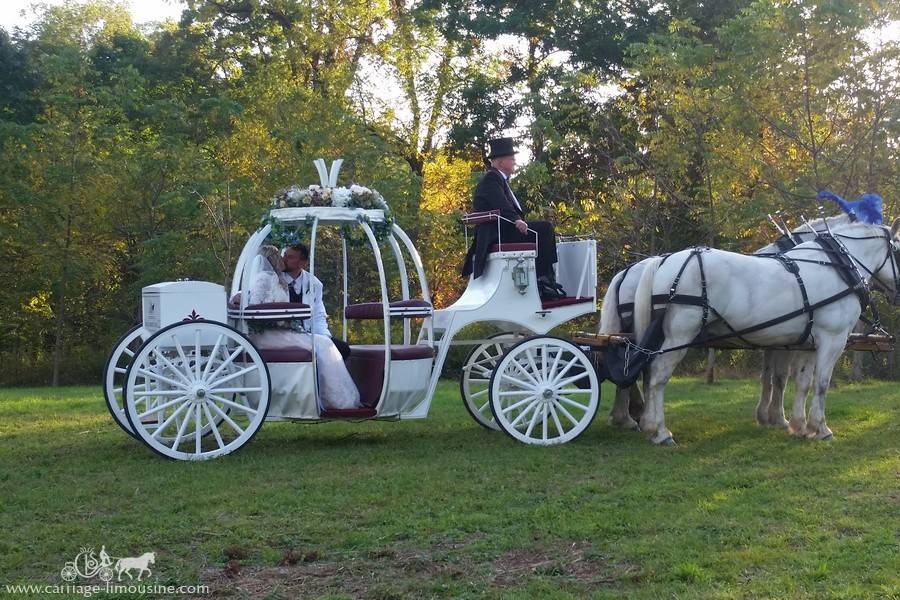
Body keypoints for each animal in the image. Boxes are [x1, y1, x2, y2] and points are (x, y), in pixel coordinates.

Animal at [628, 218, 896, 442]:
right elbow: (820, 384)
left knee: (649, 373)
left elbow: (801, 382)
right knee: (658, 375)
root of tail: (664, 261)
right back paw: (659, 431)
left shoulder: (808, 344)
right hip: (679, 335)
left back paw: (649, 424)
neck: (836, 268)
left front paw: (800, 425)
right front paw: (820, 428)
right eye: (898, 250)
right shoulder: (833, 340)